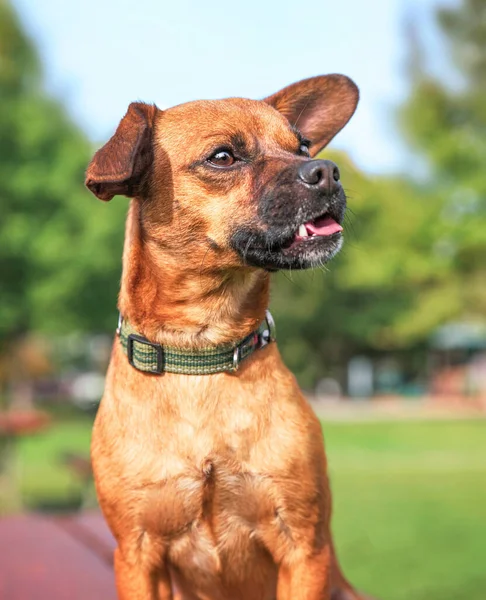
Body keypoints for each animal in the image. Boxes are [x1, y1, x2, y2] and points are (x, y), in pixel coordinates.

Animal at [86, 75, 372, 600]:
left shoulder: (304, 549)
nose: (327, 171)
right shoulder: (137, 554)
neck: (201, 355)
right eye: (223, 156)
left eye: (302, 146)